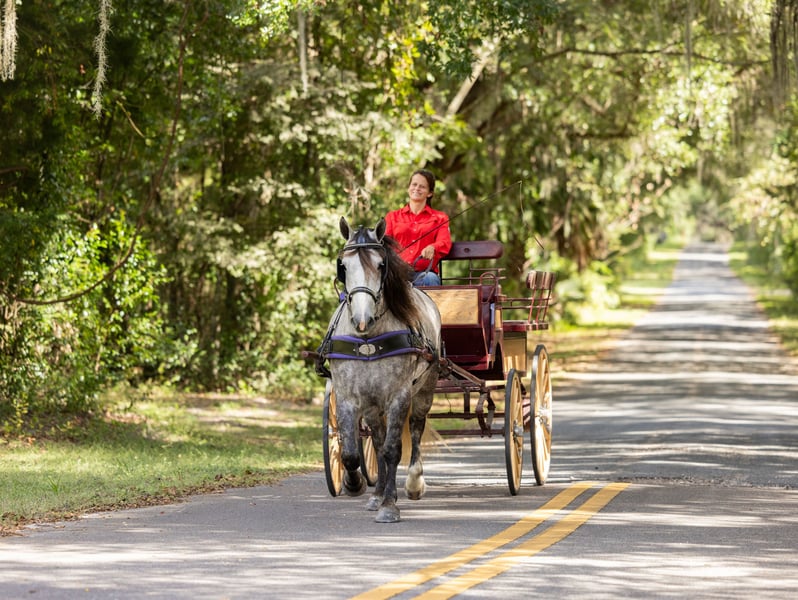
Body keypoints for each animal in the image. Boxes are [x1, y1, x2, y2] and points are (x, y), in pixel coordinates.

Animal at [320, 216, 442, 523]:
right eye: (343, 265)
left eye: (380, 264)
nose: (362, 319)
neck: (367, 339)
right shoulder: (348, 396)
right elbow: (352, 452)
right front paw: (355, 484)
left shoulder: (399, 396)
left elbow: (392, 449)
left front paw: (390, 505)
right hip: (373, 404)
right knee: (375, 439)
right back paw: (376, 494)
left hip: (425, 388)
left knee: (415, 428)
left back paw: (412, 483)